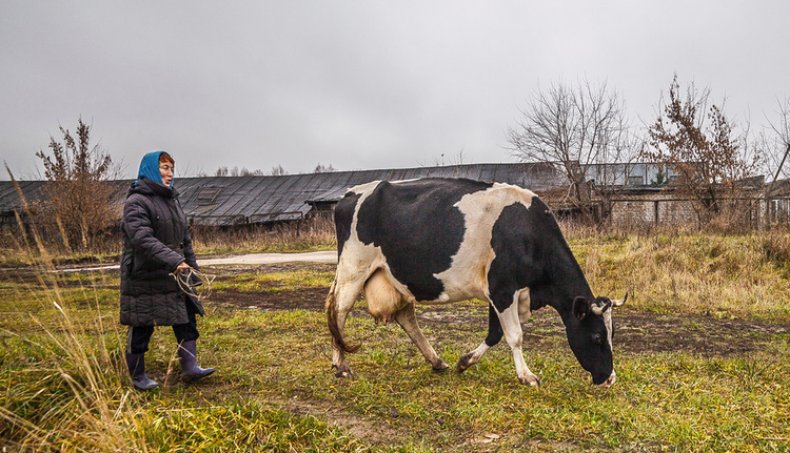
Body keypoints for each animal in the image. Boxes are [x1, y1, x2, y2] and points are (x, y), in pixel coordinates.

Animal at [326, 178, 624, 386]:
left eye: (612, 335)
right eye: (597, 336)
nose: (609, 378)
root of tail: (348, 195)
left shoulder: (508, 293)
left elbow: (495, 333)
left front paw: (464, 362)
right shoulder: (502, 289)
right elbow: (515, 335)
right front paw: (527, 376)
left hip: (394, 277)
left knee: (406, 317)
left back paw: (437, 361)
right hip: (354, 268)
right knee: (339, 312)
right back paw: (341, 365)